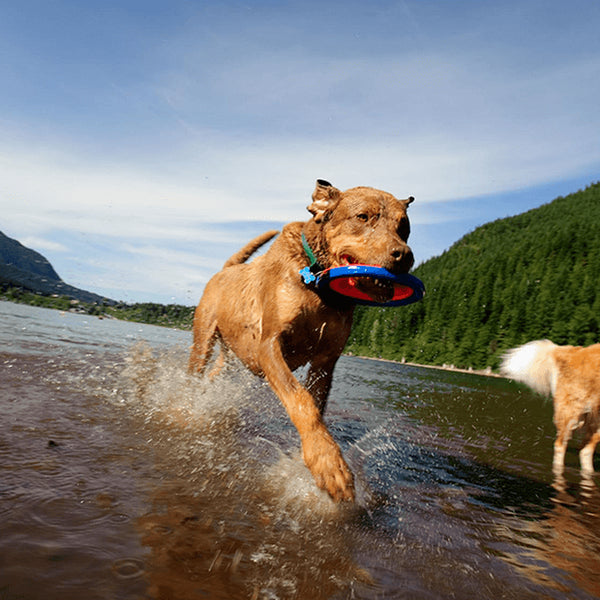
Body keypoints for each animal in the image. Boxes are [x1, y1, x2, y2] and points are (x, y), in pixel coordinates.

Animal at [190, 178, 414, 502]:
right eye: (363, 217)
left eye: (404, 227)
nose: (404, 255)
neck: (317, 283)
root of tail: (226, 269)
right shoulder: (270, 346)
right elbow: (301, 402)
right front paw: (328, 463)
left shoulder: (325, 362)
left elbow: (316, 407)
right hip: (203, 341)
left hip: (230, 358)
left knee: (217, 373)